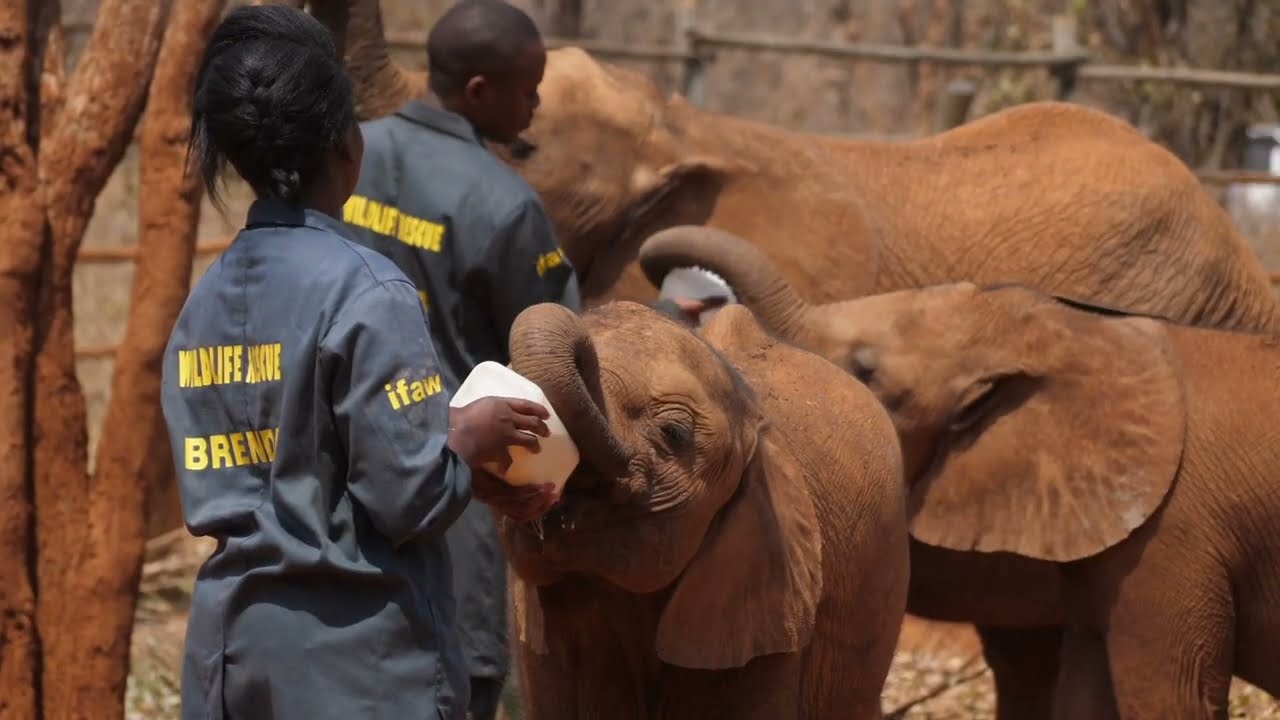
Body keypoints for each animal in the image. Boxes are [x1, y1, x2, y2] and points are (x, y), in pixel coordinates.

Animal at [638, 227, 1280, 719]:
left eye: (865, 371)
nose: (667, 279)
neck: (1073, 329)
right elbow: (1083, 692)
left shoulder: (1176, 538)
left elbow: (1169, 697)